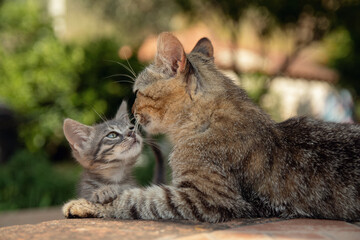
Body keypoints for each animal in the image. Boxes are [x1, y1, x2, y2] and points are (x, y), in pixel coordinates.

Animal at [62, 32, 360, 222]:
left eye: (137, 93)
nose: (133, 116)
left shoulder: (207, 198)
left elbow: (138, 199)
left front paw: (85, 204)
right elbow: (132, 191)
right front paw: (102, 193)